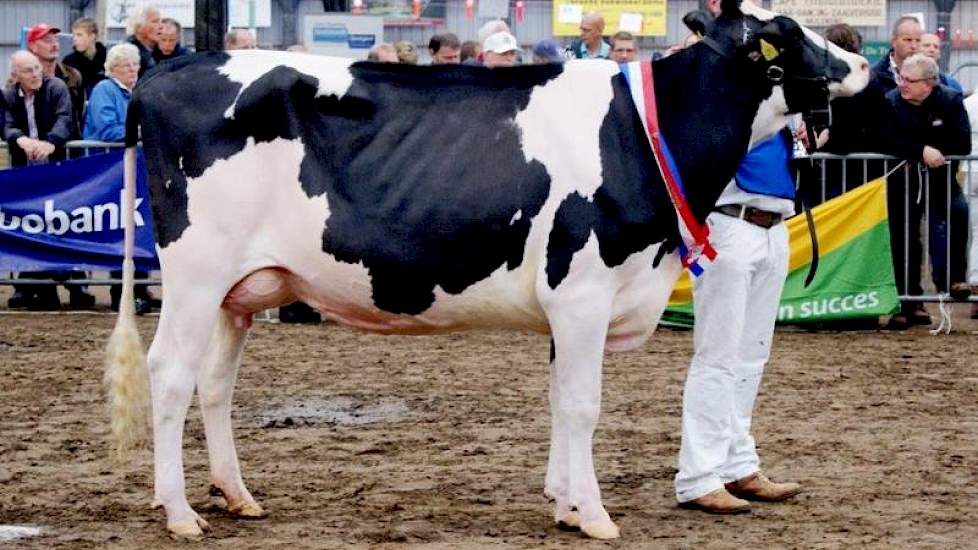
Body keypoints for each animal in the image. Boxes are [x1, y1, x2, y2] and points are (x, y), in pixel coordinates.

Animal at [107, 0, 864, 540]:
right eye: (788, 34)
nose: (858, 57)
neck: (646, 134)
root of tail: (170, 70)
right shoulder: (583, 292)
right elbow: (583, 405)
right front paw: (596, 516)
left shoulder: (567, 305)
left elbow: (559, 400)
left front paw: (565, 505)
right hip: (195, 275)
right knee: (169, 376)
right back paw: (180, 512)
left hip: (239, 290)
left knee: (214, 385)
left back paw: (237, 497)